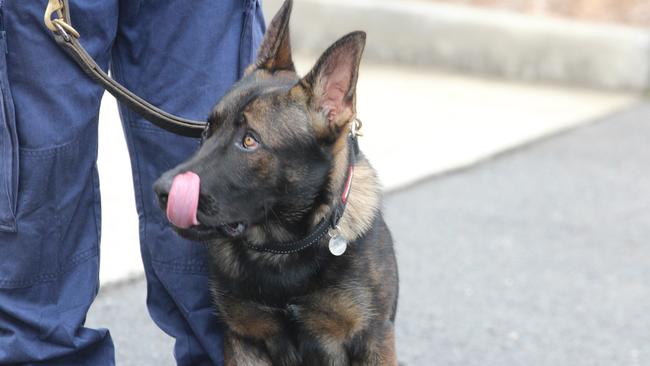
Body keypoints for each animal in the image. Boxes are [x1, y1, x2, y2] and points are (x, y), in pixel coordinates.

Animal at [153, 1, 398, 364]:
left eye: (250, 141)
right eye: (207, 130)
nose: (162, 191)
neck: (284, 248)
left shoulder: (373, 338)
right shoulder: (244, 340)